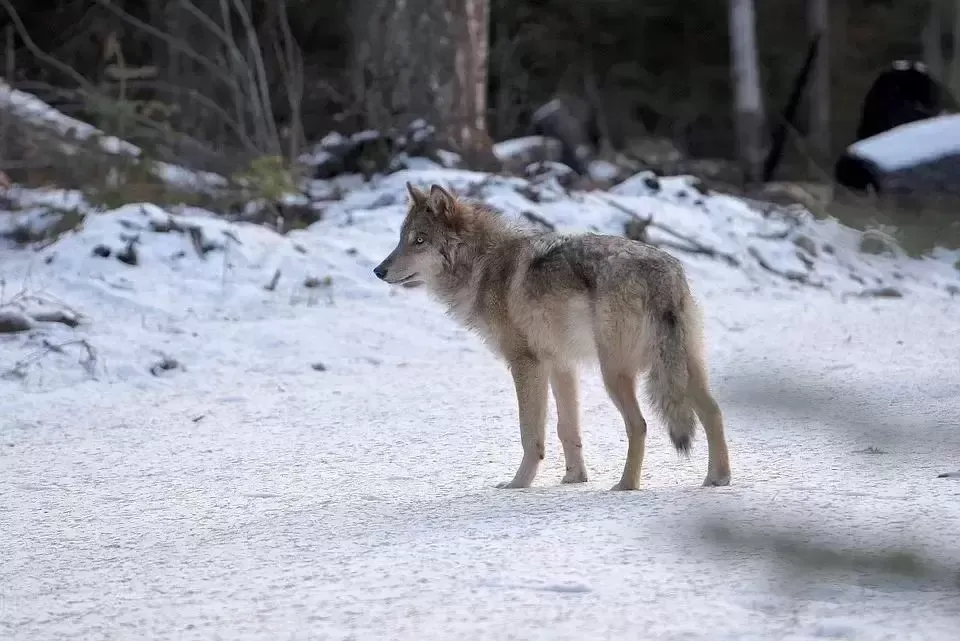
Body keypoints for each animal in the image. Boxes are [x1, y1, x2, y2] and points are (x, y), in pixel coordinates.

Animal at [372, 181, 732, 490]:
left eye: (420, 240)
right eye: (402, 239)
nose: (378, 270)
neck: (482, 265)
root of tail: (662, 272)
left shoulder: (525, 364)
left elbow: (530, 434)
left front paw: (518, 484)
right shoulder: (561, 365)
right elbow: (566, 429)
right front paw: (574, 479)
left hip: (614, 375)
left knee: (639, 424)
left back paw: (626, 485)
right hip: (682, 370)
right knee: (713, 411)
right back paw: (717, 479)